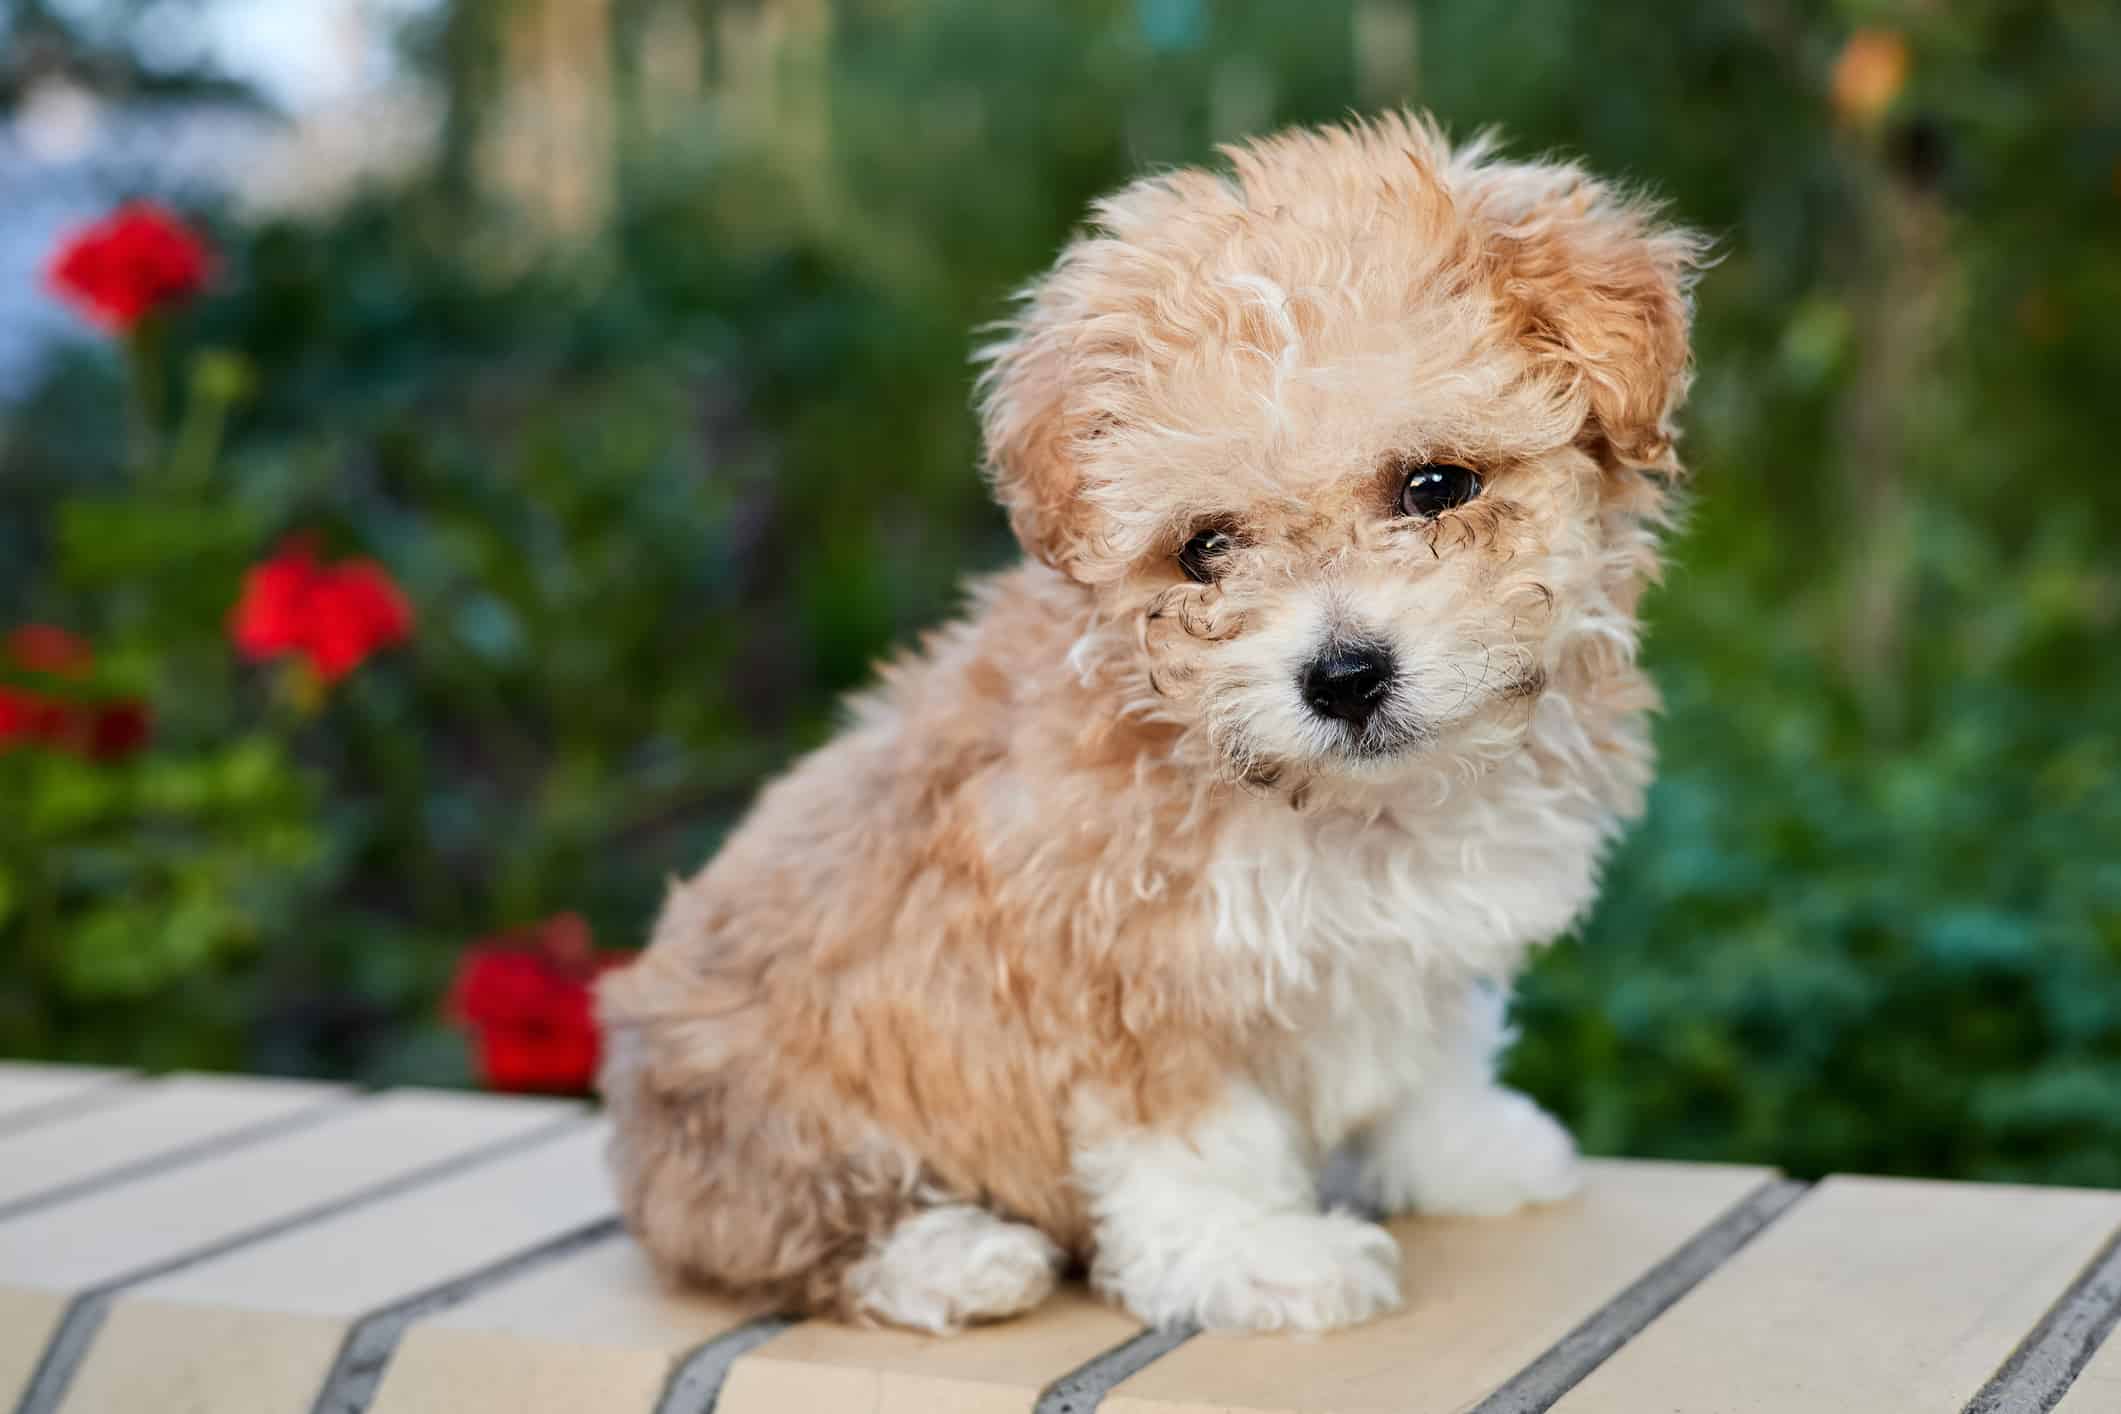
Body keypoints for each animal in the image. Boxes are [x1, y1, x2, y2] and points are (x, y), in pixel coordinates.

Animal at [598, 113, 1705, 1339]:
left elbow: (1428, 1054)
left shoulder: (1417, 949)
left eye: (1435, 486)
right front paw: (1263, 1258)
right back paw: (954, 1257)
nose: (1343, 677)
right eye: (1205, 549)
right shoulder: (1135, 978)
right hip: (766, 1109)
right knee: (782, 1232)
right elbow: (1197, 1150)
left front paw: (1466, 1150)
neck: (1358, 810)